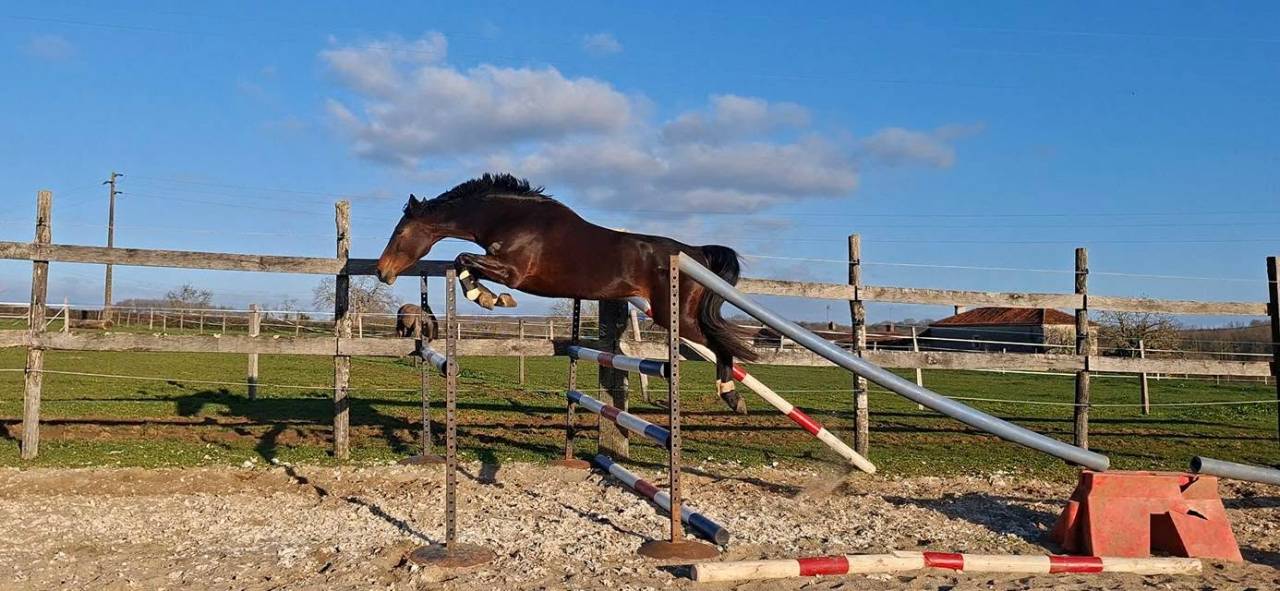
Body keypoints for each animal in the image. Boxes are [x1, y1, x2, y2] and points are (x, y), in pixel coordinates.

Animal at [375, 173, 757, 414]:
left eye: (400, 232)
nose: (382, 272)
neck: (510, 218)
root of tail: (695, 253)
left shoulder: (514, 272)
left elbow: (464, 259)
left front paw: (491, 298)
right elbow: (464, 263)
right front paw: (489, 297)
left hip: (675, 315)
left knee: (720, 343)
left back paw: (732, 397)